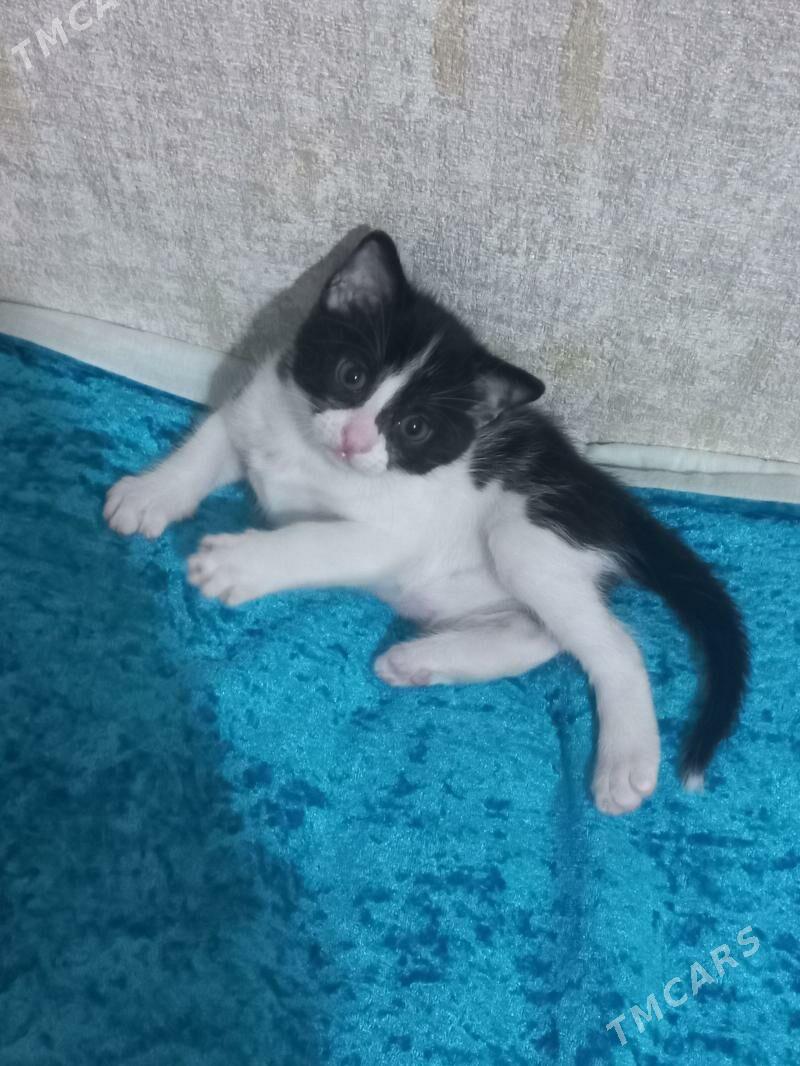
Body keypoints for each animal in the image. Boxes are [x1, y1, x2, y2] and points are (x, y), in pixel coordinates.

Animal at [104, 230, 749, 815]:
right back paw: (420, 661)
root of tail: (603, 488)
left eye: (413, 428)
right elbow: (208, 443)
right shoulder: (256, 411)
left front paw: (237, 564)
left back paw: (625, 761)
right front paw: (149, 494)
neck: (310, 457)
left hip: (527, 530)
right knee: (540, 634)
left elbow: (313, 538)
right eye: (352, 375)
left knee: (614, 645)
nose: (355, 439)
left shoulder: (387, 532)